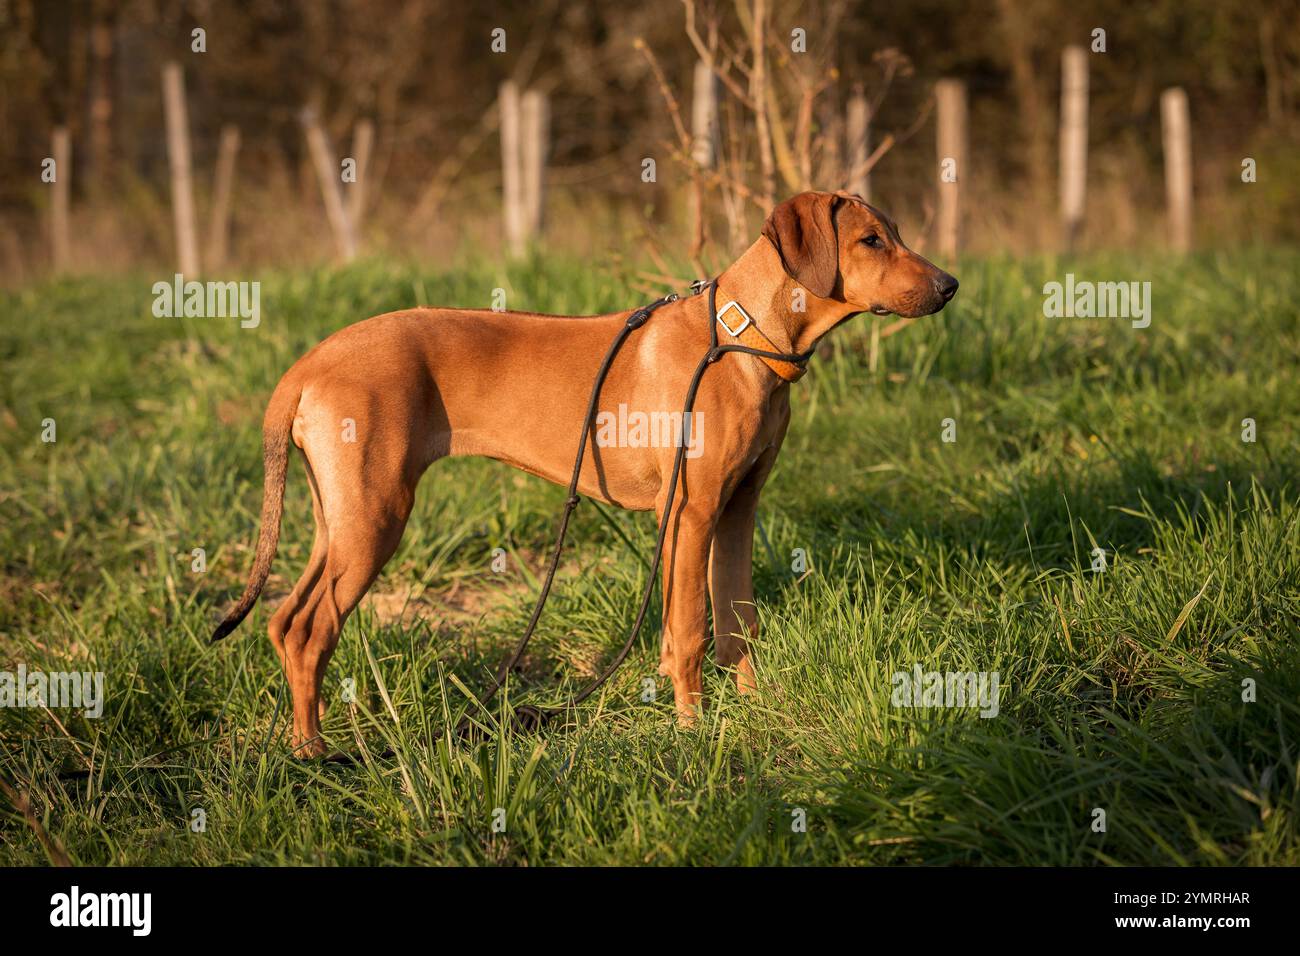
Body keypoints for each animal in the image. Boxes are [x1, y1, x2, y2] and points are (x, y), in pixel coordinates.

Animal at [213, 188, 956, 754]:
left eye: (894, 234)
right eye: (871, 241)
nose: (950, 286)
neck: (740, 337)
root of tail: (309, 362)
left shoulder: (737, 508)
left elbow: (734, 623)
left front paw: (756, 711)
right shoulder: (690, 513)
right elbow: (690, 632)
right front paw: (695, 733)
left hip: (338, 517)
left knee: (285, 622)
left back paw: (305, 741)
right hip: (376, 515)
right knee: (311, 629)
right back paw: (315, 753)